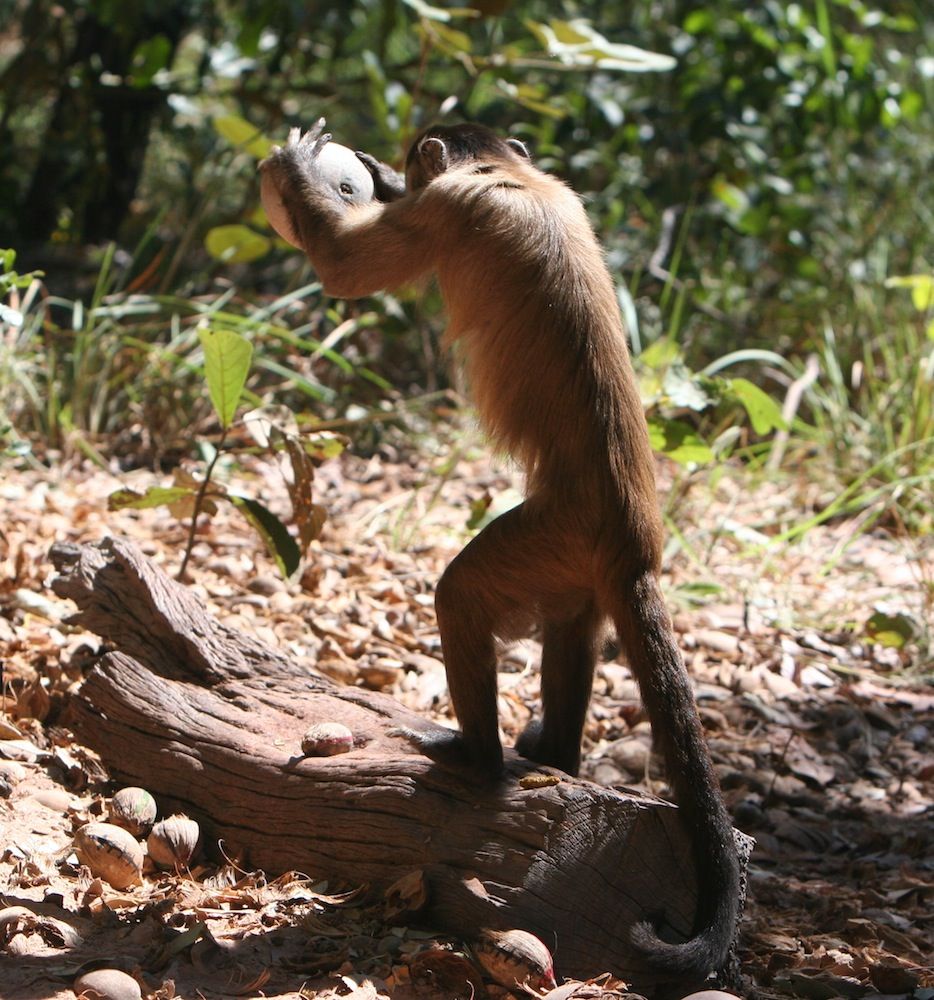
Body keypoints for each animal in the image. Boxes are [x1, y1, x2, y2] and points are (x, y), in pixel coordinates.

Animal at [260, 117, 744, 976]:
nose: (392, 168)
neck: (515, 177)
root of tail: (637, 539)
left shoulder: (452, 208)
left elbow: (347, 271)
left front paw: (299, 172)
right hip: (575, 556)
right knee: (572, 626)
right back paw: (558, 758)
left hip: (553, 531)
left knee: (462, 594)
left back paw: (478, 760)